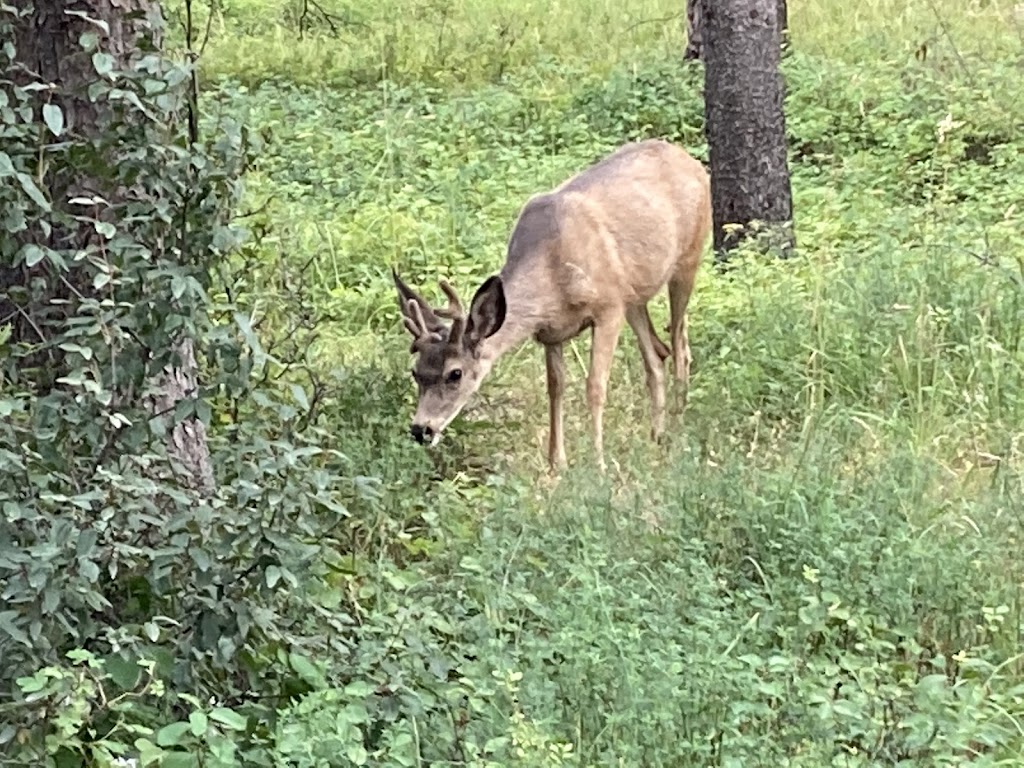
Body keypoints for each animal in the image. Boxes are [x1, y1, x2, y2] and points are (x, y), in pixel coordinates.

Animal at [391, 140, 712, 473]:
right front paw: (556, 463)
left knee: (679, 346)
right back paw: (657, 436)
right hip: (635, 295)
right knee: (656, 356)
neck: (552, 272)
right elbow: (556, 388)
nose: (421, 430)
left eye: (455, 373)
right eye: (416, 372)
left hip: (688, 259)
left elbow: (595, 386)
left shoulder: (609, 306)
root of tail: (689, 160)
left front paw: (598, 463)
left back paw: (677, 427)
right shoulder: (552, 332)